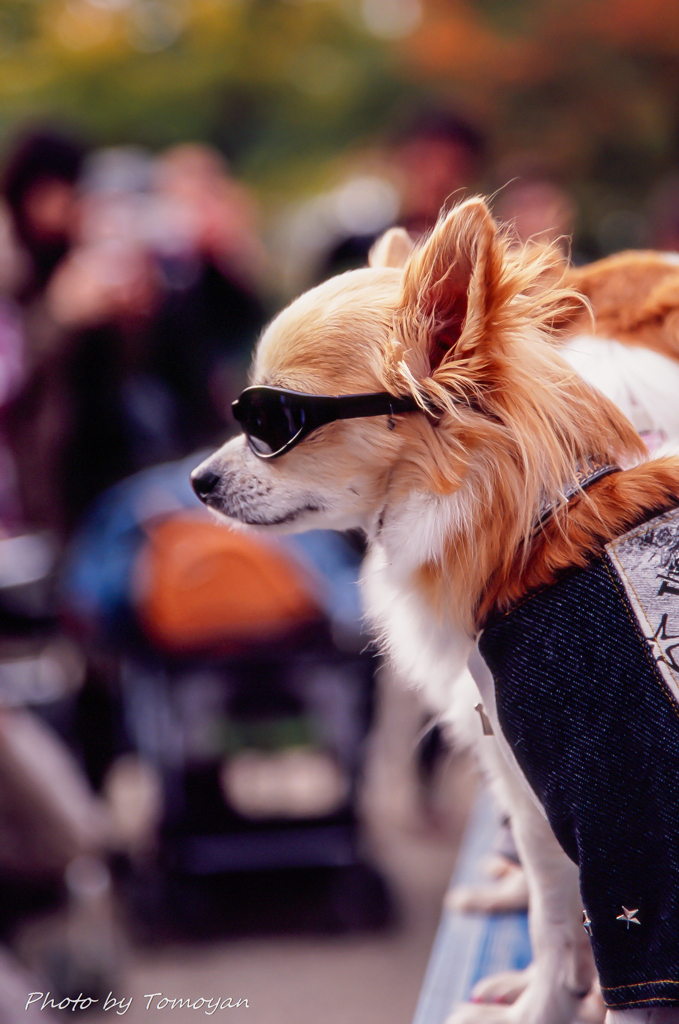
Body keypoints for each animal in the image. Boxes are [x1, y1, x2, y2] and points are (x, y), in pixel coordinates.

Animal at [191, 193, 679, 1024]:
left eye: (271, 424)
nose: (196, 480)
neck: (537, 525)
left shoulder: (612, 810)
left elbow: (579, 928)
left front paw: (542, 1007)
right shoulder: (529, 780)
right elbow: (557, 912)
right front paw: (547, 993)